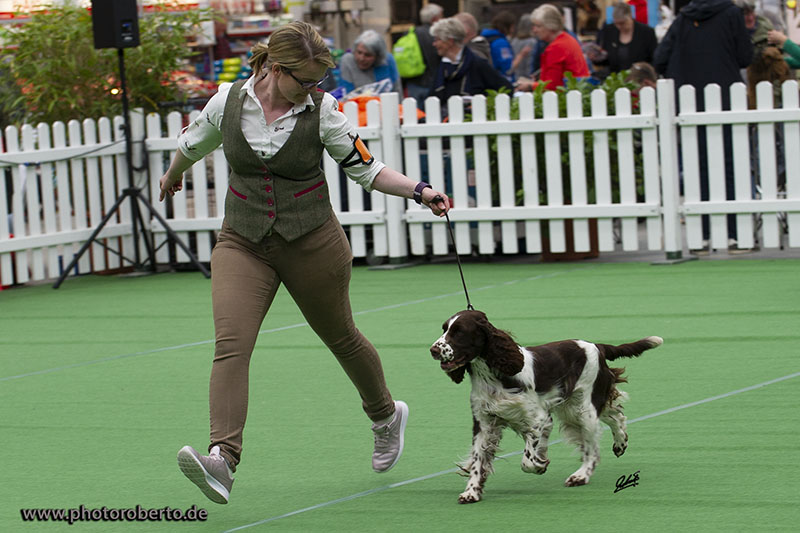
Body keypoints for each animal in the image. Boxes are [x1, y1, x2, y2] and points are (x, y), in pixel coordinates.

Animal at [432, 310, 664, 500]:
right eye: (444, 329)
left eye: (459, 332)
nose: (433, 350)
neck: (493, 376)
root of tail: (597, 347)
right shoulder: (484, 423)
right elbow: (479, 459)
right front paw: (471, 492)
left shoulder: (539, 417)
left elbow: (527, 460)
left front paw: (539, 465)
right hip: (572, 406)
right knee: (617, 416)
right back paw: (620, 444)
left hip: (585, 409)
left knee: (593, 449)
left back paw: (580, 476)